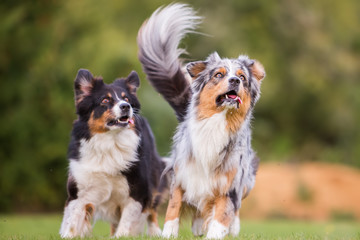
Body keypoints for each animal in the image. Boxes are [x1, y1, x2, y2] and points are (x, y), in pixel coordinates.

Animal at [59, 69, 166, 238]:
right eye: (105, 100)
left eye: (126, 98)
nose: (126, 106)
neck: (110, 142)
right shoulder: (78, 191)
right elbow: (72, 221)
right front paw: (69, 235)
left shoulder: (137, 192)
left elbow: (127, 221)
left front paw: (122, 235)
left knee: (152, 209)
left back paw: (155, 232)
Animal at [138, 4, 264, 240]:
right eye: (219, 75)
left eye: (242, 77)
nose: (235, 80)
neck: (216, 123)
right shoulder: (181, 174)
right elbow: (173, 209)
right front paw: (168, 234)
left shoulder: (229, 183)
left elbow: (222, 215)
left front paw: (217, 232)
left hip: (247, 178)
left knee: (234, 208)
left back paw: (231, 228)